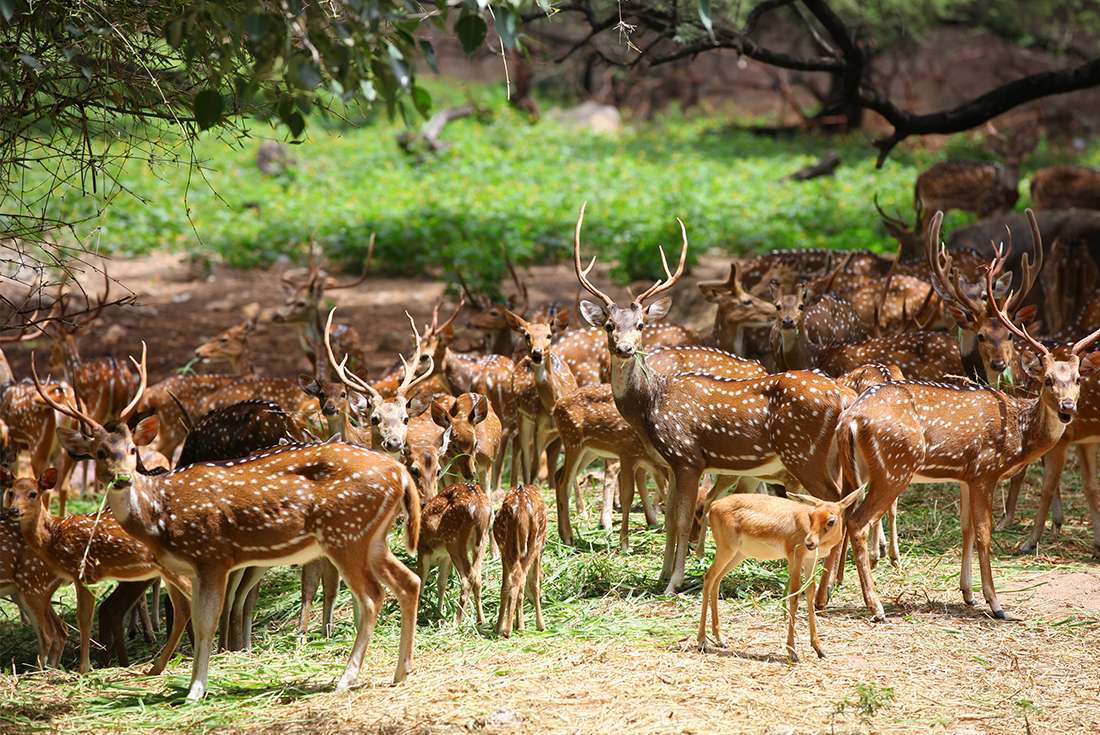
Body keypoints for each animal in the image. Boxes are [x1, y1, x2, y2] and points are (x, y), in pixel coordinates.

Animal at [33, 345, 420, 699]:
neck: (160, 513)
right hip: (371, 538)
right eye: (100, 453)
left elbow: (205, 621)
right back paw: (400, 671)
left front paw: (195, 690)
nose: (122, 479)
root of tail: (400, 474)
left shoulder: (212, 556)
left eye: (131, 450)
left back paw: (345, 678)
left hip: (344, 534)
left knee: (372, 596)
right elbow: (200, 615)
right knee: (408, 581)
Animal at [415, 481, 490, 624]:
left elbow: (420, 580)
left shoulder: (423, 550)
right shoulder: (445, 558)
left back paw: (456, 622)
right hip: (482, 541)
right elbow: (441, 583)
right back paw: (481, 621)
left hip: (455, 540)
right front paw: (439, 614)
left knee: (467, 578)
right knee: (477, 577)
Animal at [495, 481, 545, 638]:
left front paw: (517, 624)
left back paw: (500, 628)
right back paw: (509, 629)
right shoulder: (538, 548)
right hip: (534, 542)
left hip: (505, 546)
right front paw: (538, 625)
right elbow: (534, 583)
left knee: (509, 582)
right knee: (520, 578)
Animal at [699, 488, 862, 660]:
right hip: (726, 550)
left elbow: (810, 594)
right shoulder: (794, 558)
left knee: (716, 581)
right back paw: (702, 642)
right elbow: (794, 596)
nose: (809, 542)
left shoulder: (810, 560)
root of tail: (714, 505)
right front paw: (792, 651)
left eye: (831, 520)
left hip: (737, 555)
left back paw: (720, 640)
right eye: (811, 516)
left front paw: (819, 649)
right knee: (708, 577)